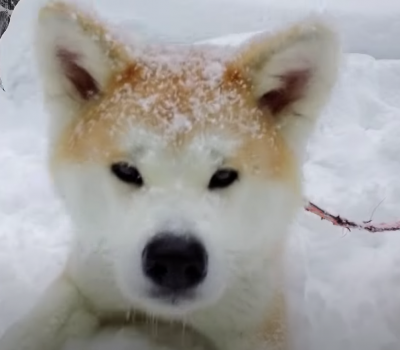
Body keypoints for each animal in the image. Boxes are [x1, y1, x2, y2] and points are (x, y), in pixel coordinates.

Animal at [0, 1, 340, 348]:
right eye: (127, 171)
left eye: (223, 176)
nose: (175, 258)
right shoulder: (85, 283)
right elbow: (32, 329)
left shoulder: (256, 322)